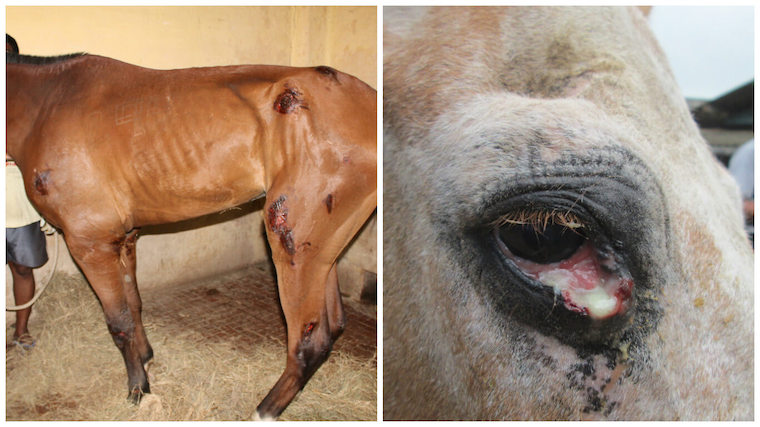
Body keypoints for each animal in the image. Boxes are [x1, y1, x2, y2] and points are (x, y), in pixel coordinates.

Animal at [6, 52, 377, 420]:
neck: (49, 105)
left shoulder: (91, 244)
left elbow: (119, 322)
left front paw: (139, 390)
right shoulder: (123, 238)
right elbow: (134, 304)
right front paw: (146, 359)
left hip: (292, 240)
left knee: (309, 342)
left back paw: (263, 410)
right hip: (323, 249)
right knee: (334, 325)